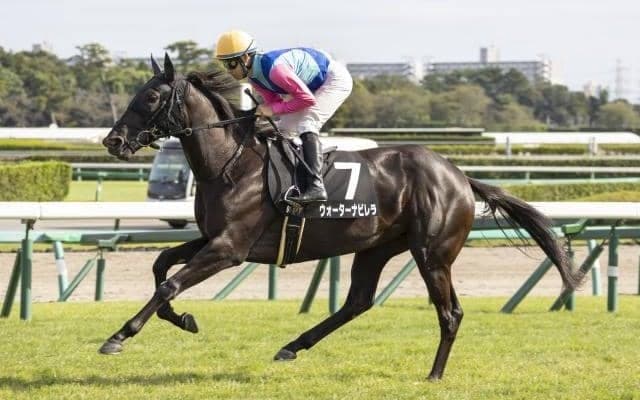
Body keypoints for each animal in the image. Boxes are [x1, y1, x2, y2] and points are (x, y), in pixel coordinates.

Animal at [100, 54, 582, 380]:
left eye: (152, 97)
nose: (112, 141)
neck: (232, 163)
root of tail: (460, 176)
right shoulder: (214, 239)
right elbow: (161, 264)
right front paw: (182, 319)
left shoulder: (230, 248)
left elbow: (170, 282)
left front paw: (120, 335)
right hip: (376, 248)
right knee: (358, 302)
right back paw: (293, 346)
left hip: (432, 253)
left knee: (449, 313)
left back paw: (434, 374)